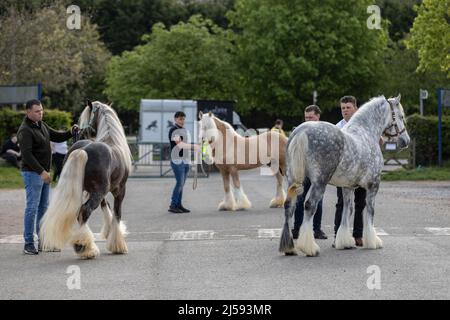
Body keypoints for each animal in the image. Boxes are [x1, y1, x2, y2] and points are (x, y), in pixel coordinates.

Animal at [39, 101, 132, 258]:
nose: (81, 131)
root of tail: (83, 150)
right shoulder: (119, 191)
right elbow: (117, 213)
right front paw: (117, 245)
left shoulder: (98, 192)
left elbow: (105, 206)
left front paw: (108, 233)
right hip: (99, 192)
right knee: (85, 211)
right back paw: (84, 246)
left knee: (80, 212)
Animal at [280, 95, 410, 258]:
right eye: (401, 116)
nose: (406, 141)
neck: (366, 132)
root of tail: (302, 131)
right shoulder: (373, 185)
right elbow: (370, 211)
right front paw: (373, 241)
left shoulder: (347, 187)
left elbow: (347, 210)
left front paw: (344, 242)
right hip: (319, 182)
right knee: (309, 205)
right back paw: (310, 248)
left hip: (293, 179)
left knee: (289, 205)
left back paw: (289, 248)